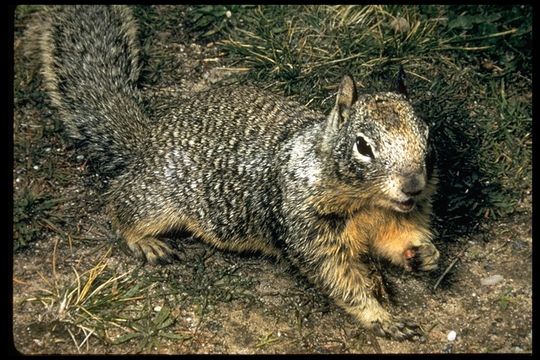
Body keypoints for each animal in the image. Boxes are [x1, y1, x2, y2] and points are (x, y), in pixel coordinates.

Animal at [41, 5, 438, 342]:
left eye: (427, 133)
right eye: (363, 146)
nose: (414, 186)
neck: (369, 203)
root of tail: (148, 139)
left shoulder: (396, 218)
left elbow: (395, 240)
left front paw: (426, 254)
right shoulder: (308, 229)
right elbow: (341, 279)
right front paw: (382, 318)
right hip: (157, 198)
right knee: (120, 204)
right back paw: (144, 241)